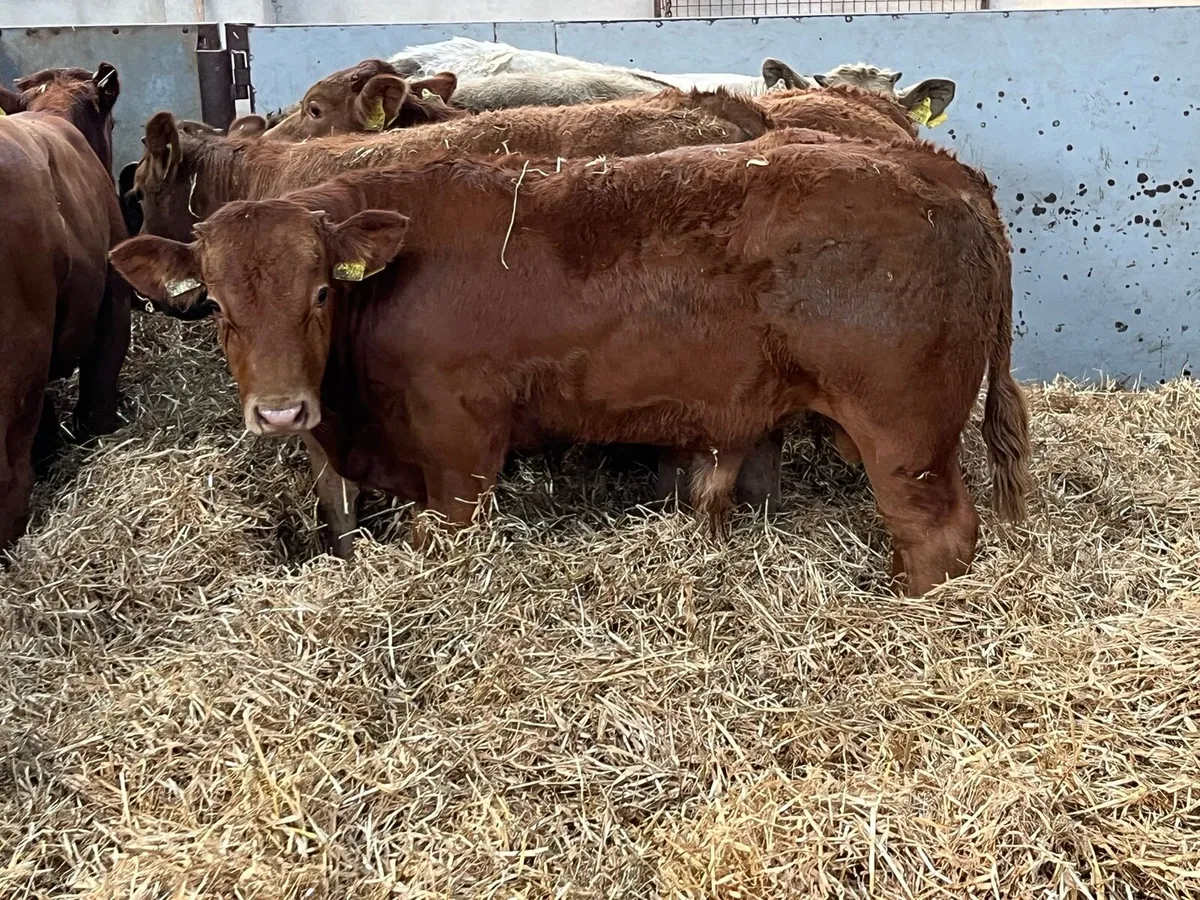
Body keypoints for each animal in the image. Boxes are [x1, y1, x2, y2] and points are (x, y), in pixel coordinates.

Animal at [111, 137, 1032, 597]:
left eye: (319, 295)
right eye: (220, 308)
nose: (279, 413)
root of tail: (948, 177)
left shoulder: (459, 447)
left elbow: (444, 532)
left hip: (904, 432)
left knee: (939, 535)